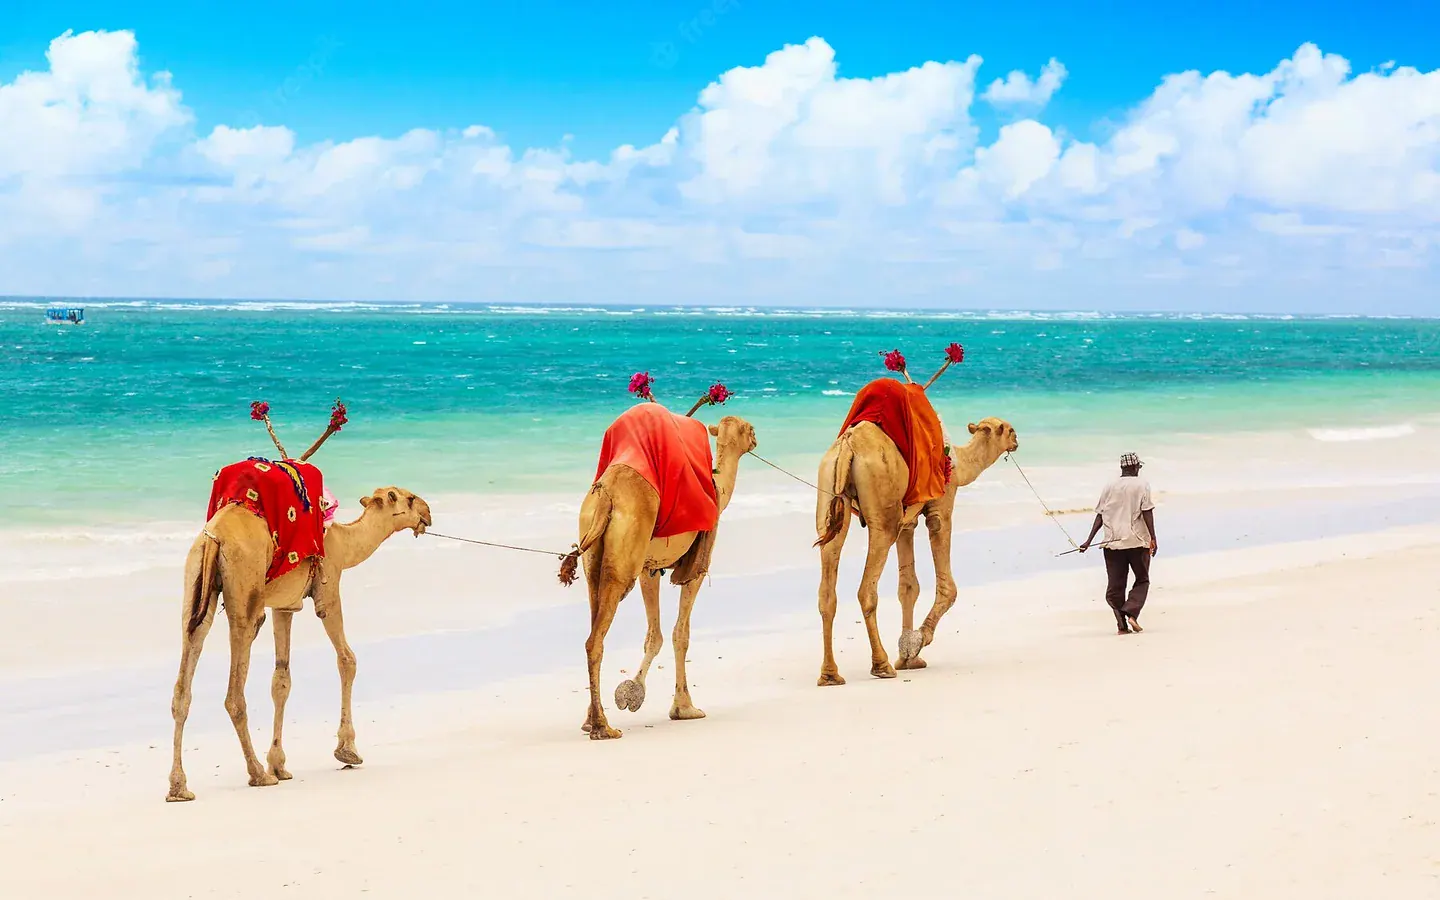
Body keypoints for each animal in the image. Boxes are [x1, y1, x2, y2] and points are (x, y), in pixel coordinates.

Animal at [166, 402, 432, 802]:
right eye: (409, 498)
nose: (429, 513)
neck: (343, 540)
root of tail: (215, 536)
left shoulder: (283, 606)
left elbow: (281, 680)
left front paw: (281, 763)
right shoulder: (328, 585)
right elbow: (347, 659)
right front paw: (347, 750)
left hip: (196, 584)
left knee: (184, 679)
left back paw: (179, 786)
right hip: (244, 594)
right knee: (234, 692)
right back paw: (257, 774)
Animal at [563, 404, 756, 740]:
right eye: (748, 428)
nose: (757, 437)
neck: (717, 488)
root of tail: (606, 493)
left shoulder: (648, 569)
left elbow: (654, 635)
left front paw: (631, 693)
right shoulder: (694, 568)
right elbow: (681, 634)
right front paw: (683, 707)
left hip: (594, 554)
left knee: (592, 628)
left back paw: (591, 720)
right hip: (623, 561)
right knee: (595, 638)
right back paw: (603, 727)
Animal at [814, 351, 1017, 685]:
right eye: (1009, 429)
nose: (1017, 441)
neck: (959, 461)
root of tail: (849, 445)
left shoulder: (907, 523)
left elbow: (908, 587)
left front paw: (909, 655)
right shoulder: (940, 505)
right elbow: (947, 586)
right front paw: (918, 641)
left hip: (829, 493)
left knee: (827, 588)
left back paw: (831, 674)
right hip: (882, 511)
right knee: (866, 589)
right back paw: (881, 665)